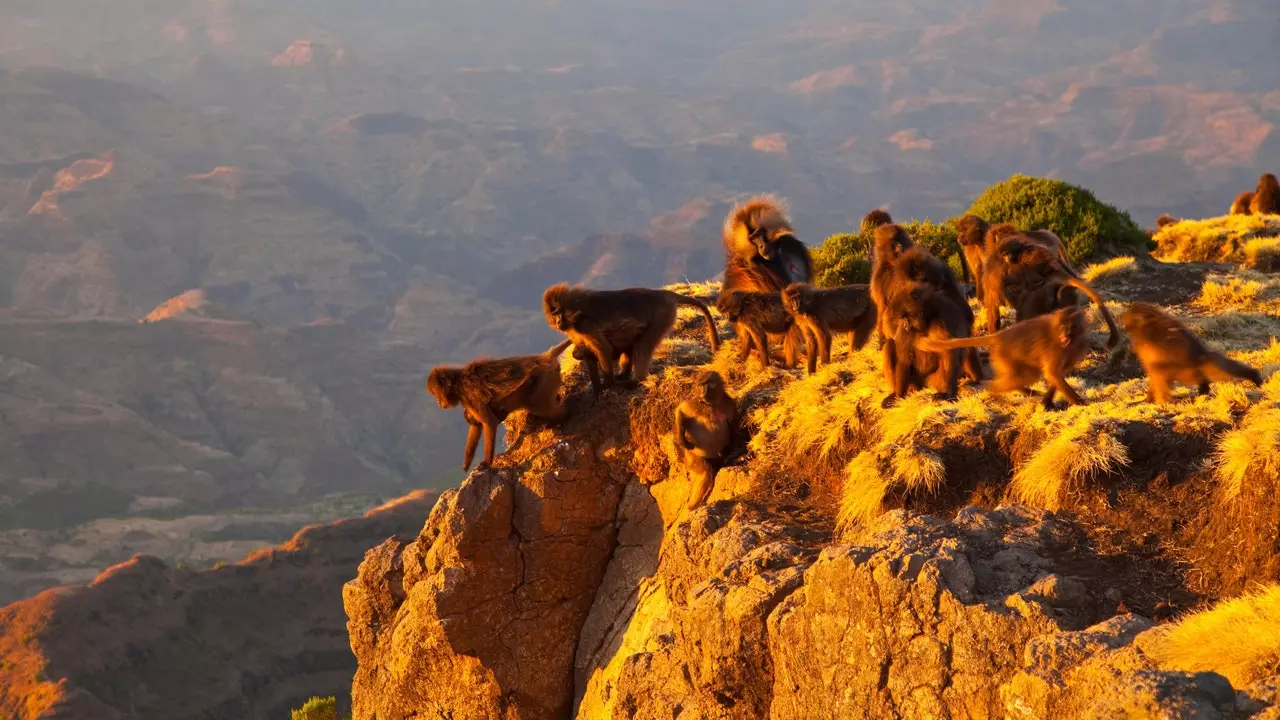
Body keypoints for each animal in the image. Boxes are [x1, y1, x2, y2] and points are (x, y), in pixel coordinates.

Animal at [427, 335, 573, 471]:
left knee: (537, 404)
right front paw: (466, 464)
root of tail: (543, 357)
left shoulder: (471, 395)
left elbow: (489, 422)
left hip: (544, 378)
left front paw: (487, 463)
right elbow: (476, 425)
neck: (458, 383)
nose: (440, 403)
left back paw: (561, 417)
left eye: (437, 394)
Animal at [540, 283, 721, 389]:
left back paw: (636, 380)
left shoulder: (584, 324)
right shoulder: (574, 329)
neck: (574, 306)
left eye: (558, 312)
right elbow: (583, 350)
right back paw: (624, 374)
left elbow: (603, 348)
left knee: (643, 345)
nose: (558, 322)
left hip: (663, 315)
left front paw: (607, 383)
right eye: (553, 313)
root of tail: (664, 294)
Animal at [670, 366, 742, 507]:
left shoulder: (729, 405)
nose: (702, 392)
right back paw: (694, 505)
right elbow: (681, 410)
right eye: (701, 385)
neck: (712, 405)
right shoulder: (697, 404)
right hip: (694, 457)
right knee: (706, 471)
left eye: (707, 384)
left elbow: (733, 428)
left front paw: (734, 454)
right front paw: (681, 439)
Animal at [921, 303, 1090, 409]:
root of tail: (1000, 336)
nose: (1065, 335)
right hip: (1006, 354)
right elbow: (1053, 374)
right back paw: (992, 390)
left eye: (1071, 327)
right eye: (1062, 327)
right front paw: (1079, 401)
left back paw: (1026, 391)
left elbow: (1056, 375)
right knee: (1024, 376)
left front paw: (1047, 401)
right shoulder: (1055, 350)